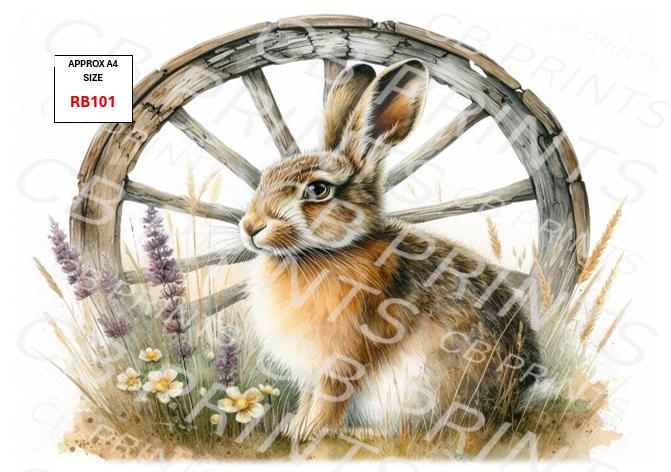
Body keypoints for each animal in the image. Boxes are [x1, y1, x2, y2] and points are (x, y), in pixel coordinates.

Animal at [239, 59, 542, 439]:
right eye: (265, 178)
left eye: (319, 189)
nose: (250, 227)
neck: (325, 253)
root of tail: (513, 400)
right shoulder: (313, 370)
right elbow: (310, 398)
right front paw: (295, 427)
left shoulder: (342, 360)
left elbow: (329, 400)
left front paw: (310, 433)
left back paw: (363, 435)